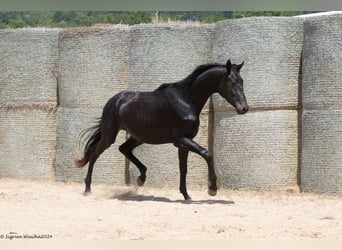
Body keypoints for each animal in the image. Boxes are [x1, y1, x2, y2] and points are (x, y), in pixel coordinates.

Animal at [77, 59, 248, 200]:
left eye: (242, 81)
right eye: (232, 82)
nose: (244, 108)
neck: (186, 101)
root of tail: (113, 100)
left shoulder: (183, 143)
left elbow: (183, 169)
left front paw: (186, 196)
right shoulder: (180, 139)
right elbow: (206, 153)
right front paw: (212, 189)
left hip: (139, 137)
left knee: (123, 149)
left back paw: (141, 178)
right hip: (109, 136)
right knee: (94, 154)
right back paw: (87, 188)